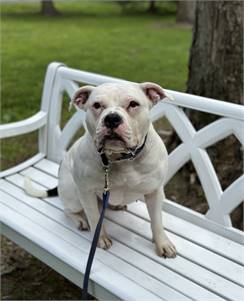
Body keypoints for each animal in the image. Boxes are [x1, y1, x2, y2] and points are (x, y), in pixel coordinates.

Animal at [25, 81, 175, 256]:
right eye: (96, 105)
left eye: (133, 104)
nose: (112, 118)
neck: (120, 159)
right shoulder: (86, 192)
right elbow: (94, 218)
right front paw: (100, 238)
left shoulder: (155, 191)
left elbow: (157, 220)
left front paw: (162, 243)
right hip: (73, 193)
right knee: (68, 210)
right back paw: (80, 220)